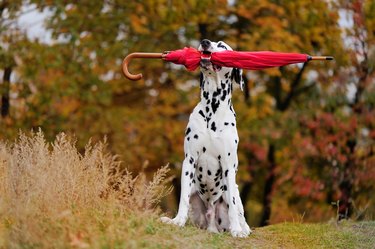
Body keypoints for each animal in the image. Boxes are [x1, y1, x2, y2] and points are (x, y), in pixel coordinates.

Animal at [162, 39, 253, 237]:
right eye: (210, 41)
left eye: (222, 46)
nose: (204, 42)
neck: (212, 108)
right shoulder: (189, 160)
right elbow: (182, 198)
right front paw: (177, 221)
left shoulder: (228, 165)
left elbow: (232, 206)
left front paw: (237, 231)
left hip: (233, 192)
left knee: (238, 211)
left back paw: (242, 228)